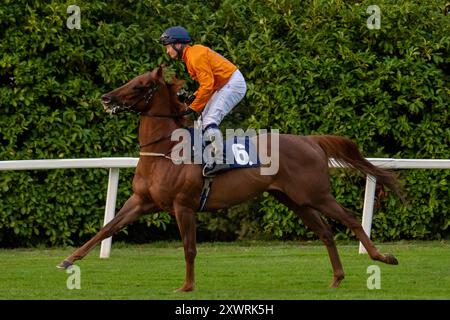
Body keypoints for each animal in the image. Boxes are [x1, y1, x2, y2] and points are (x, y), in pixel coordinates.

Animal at [57, 65, 400, 292]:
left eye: (140, 85)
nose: (106, 98)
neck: (166, 150)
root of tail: (311, 141)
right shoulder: (142, 202)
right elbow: (106, 229)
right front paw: (68, 261)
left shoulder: (183, 207)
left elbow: (189, 248)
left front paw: (187, 286)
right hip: (295, 200)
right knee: (326, 232)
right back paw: (337, 277)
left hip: (316, 194)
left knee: (351, 220)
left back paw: (382, 257)